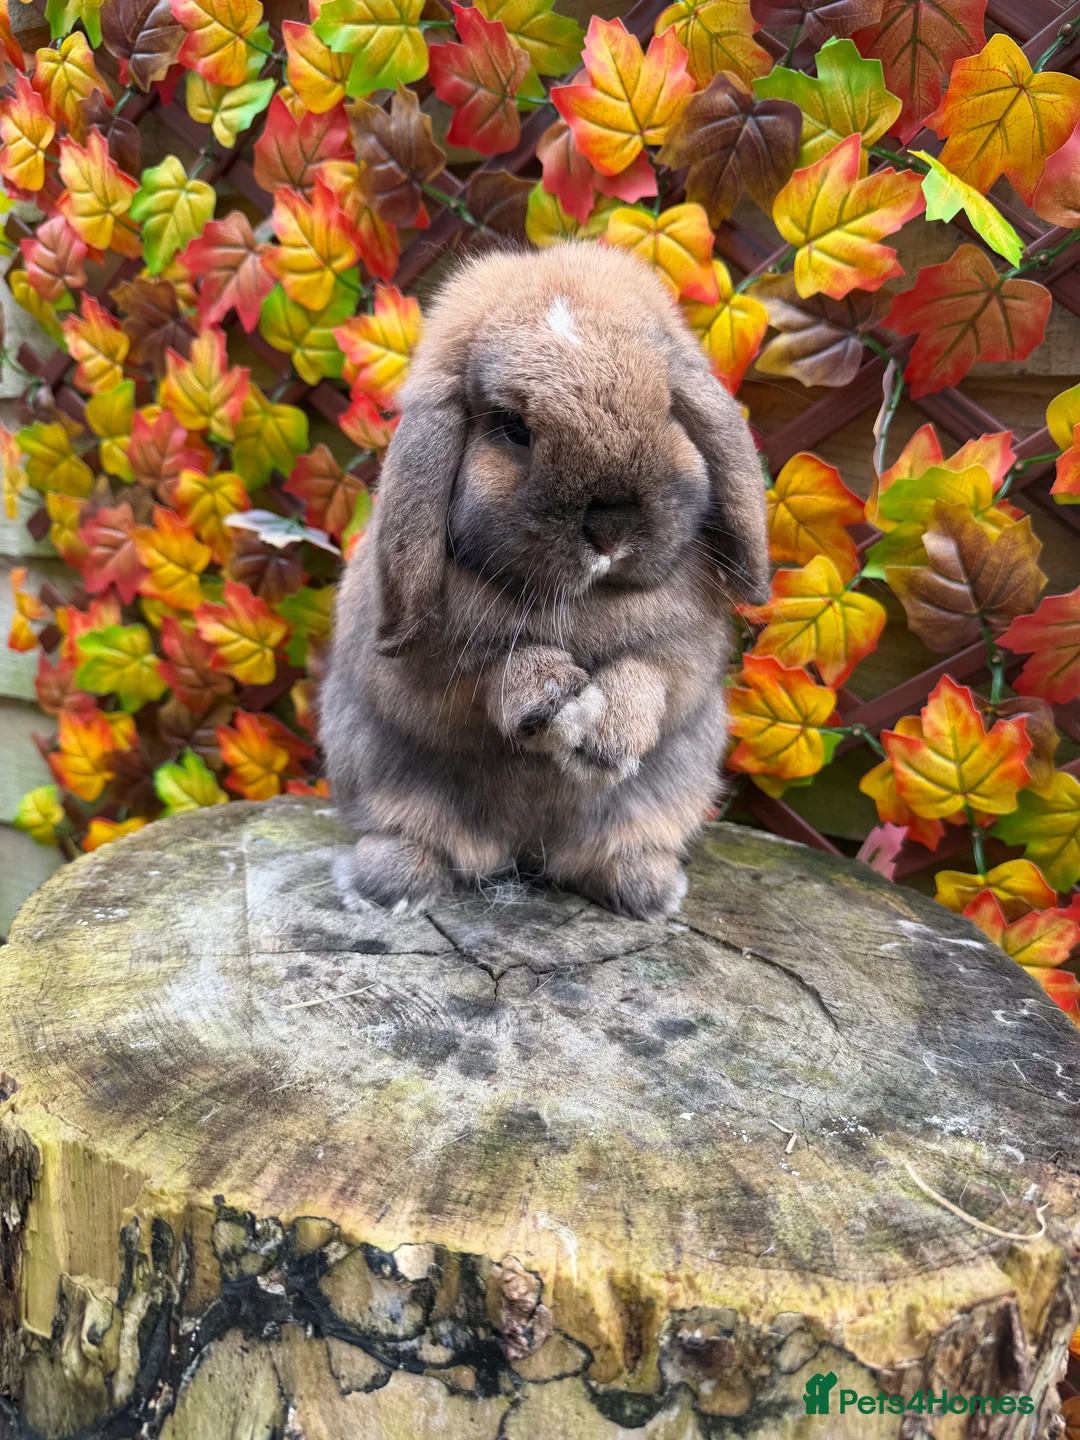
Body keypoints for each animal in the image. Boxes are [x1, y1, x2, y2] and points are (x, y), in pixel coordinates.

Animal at [322, 241, 769, 922]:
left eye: (668, 407)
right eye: (512, 428)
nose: (611, 526)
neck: (586, 598)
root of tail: (524, 852)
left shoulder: (686, 655)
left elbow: (651, 678)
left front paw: (608, 739)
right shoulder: (431, 672)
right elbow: (490, 675)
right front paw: (553, 699)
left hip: (666, 793)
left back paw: (648, 891)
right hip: (382, 775)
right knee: (420, 838)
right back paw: (388, 886)